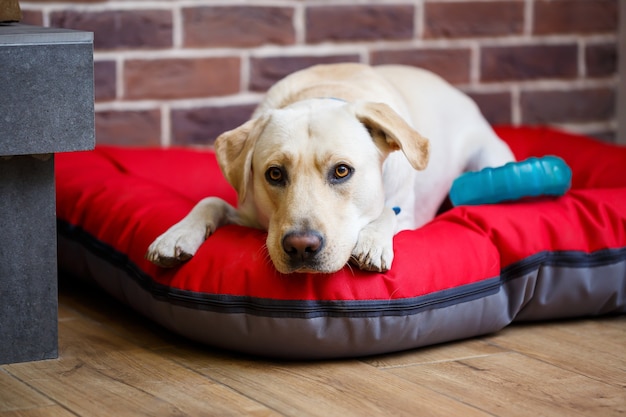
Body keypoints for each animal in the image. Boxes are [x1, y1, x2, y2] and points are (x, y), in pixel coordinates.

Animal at [145, 62, 512, 272]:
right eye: (274, 174)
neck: (323, 93)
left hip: (489, 159)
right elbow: (211, 201)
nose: (300, 246)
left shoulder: (408, 216)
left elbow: (388, 212)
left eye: (342, 171)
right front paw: (176, 235)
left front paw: (373, 241)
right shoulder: (252, 214)